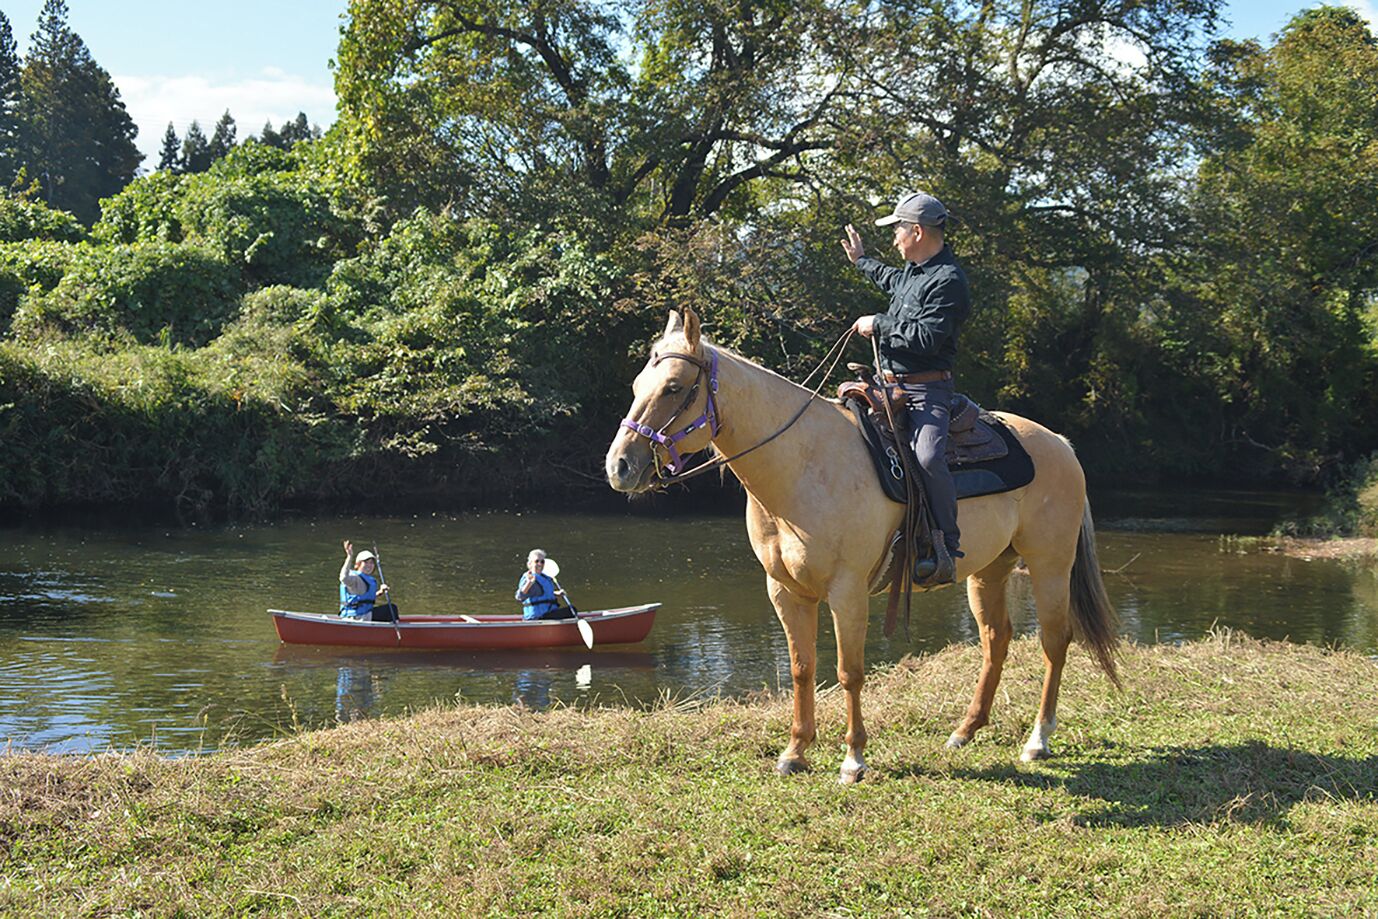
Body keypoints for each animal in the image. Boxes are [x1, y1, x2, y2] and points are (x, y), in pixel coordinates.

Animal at [605, 307, 1119, 784]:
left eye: (674, 387)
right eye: (636, 384)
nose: (619, 466)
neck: (803, 466)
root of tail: (1060, 443)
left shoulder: (847, 591)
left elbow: (849, 672)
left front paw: (853, 760)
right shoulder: (785, 592)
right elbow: (802, 668)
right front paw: (795, 752)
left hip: (1050, 564)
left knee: (1055, 640)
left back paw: (1038, 739)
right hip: (989, 570)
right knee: (997, 640)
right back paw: (965, 730)